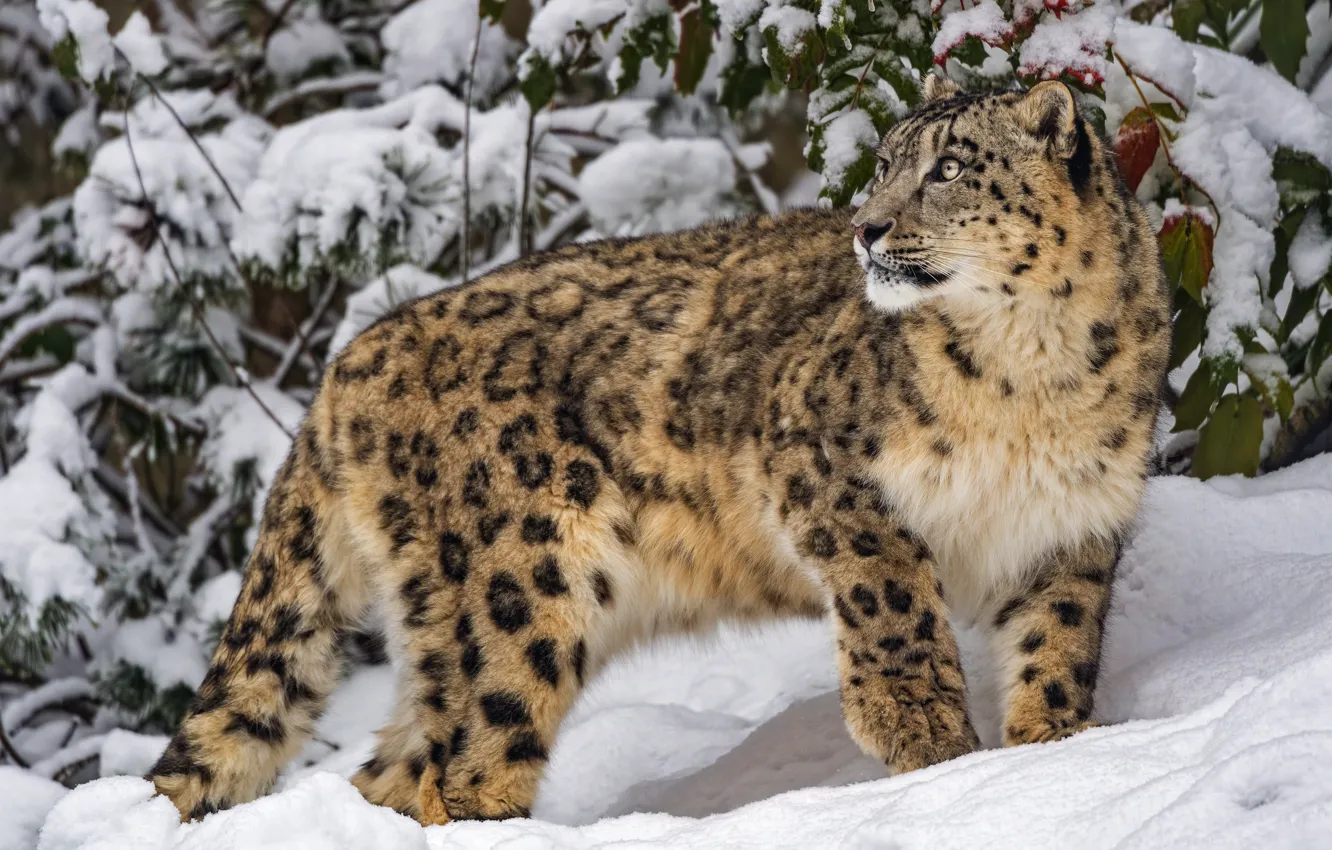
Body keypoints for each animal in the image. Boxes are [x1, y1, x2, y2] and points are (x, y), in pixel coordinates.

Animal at [149, 77, 1171, 824]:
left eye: (951, 166)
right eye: (885, 163)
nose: (866, 227)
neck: (1032, 374)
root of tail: (349, 361)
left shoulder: (1072, 527)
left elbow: (1058, 645)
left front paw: (1049, 750)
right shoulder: (822, 469)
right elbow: (894, 604)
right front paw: (925, 739)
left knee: (398, 768)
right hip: (519, 586)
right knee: (473, 753)